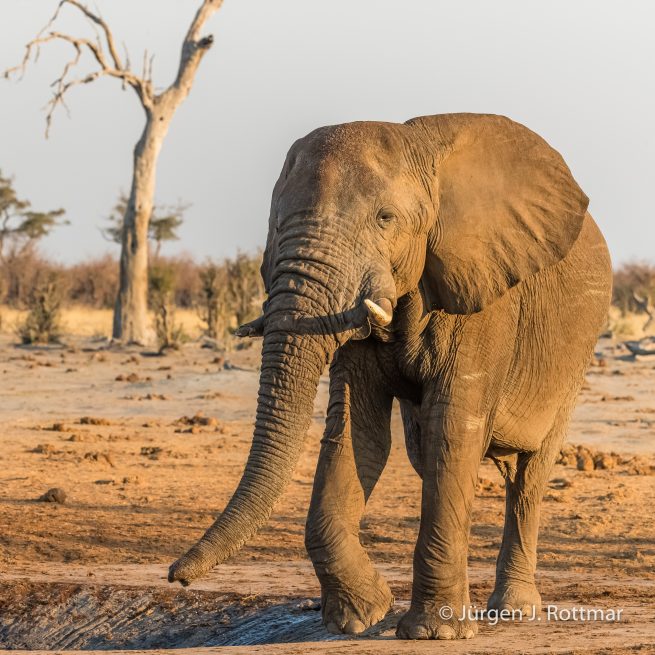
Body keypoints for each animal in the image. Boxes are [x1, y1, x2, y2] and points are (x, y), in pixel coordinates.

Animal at [169, 113, 612, 640]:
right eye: (275, 223)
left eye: (385, 219)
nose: (174, 576)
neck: (419, 145)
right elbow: (358, 435)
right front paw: (360, 616)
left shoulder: (486, 300)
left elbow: (452, 433)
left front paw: (435, 633)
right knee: (429, 458)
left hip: (574, 357)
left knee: (529, 475)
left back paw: (512, 610)